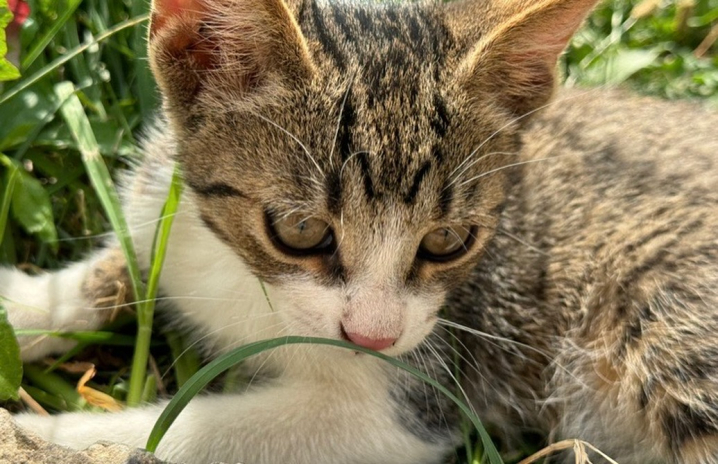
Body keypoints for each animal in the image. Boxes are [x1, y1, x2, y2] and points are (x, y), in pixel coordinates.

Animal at [1, 0, 718, 462]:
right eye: (300, 229)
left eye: (449, 242)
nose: (373, 337)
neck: (246, 277)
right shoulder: (166, 208)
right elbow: (119, 264)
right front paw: (27, 305)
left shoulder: (417, 400)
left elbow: (206, 432)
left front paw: (50, 438)